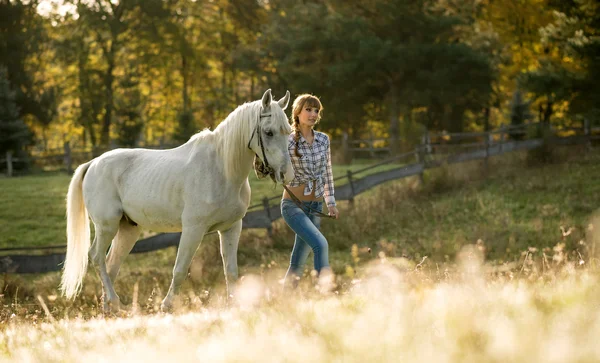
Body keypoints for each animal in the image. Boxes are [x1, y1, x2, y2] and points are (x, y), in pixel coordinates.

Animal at [61, 89, 292, 312]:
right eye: (269, 132)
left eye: (288, 131)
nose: (286, 174)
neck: (221, 169)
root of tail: (93, 163)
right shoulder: (193, 229)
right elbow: (180, 269)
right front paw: (167, 305)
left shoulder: (231, 228)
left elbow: (231, 271)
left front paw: (234, 304)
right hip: (107, 226)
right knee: (97, 257)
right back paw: (115, 302)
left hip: (128, 229)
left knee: (111, 264)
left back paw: (109, 309)